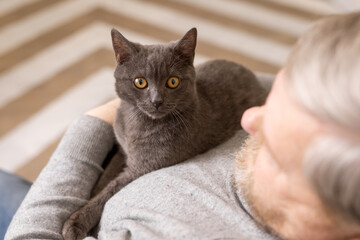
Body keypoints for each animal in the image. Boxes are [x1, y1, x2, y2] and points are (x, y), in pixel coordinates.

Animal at [62, 27, 266, 238]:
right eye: (140, 82)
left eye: (173, 81)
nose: (156, 101)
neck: (136, 122)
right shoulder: (122, 149)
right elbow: (107, 174)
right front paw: (90, 194)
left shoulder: (141, 167)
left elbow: (110, 191)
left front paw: (76, 223)